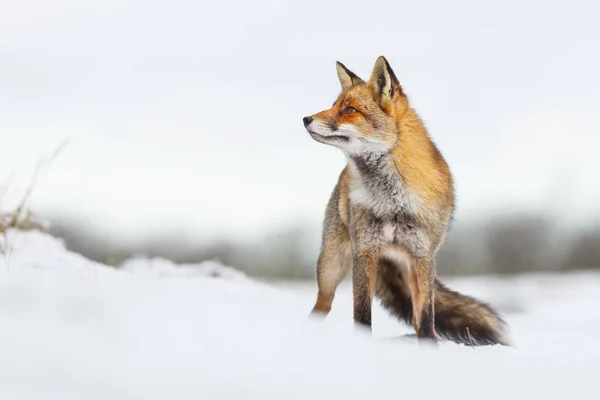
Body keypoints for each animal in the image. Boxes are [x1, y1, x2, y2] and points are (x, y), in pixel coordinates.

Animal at [302, 54, 508, 346]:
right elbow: (362, 314)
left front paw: (429, 348)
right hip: (331, 265)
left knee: (414, 316)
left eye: (349, 110)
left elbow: (426, 317)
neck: (393, 201)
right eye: (334, 105)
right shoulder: (365, 252)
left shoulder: (423, 256)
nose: (306, 118)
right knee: (322, 304)